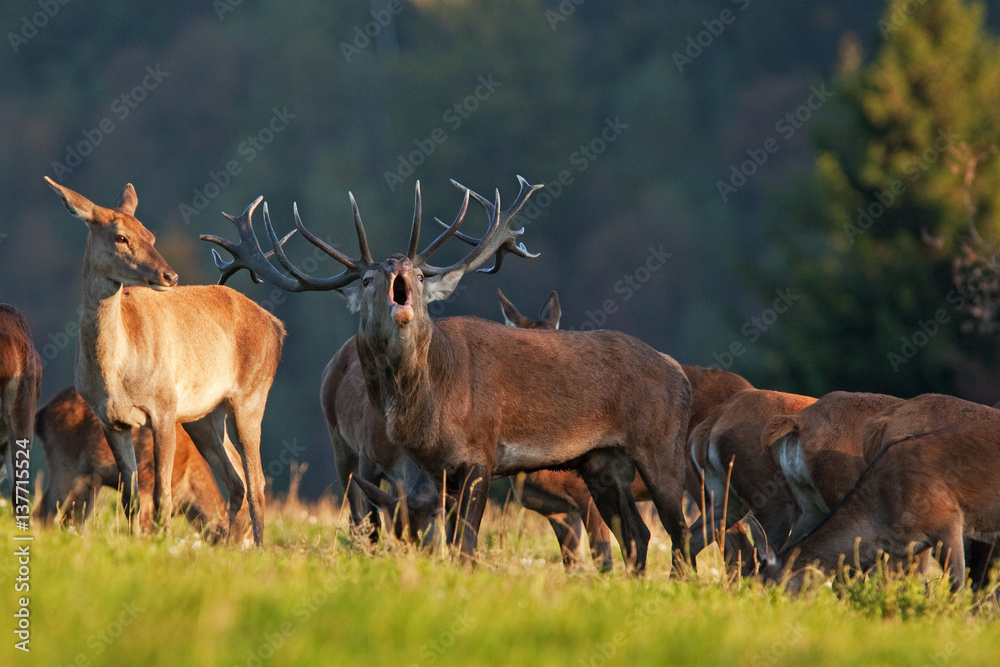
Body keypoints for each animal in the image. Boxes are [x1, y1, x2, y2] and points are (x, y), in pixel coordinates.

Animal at [34, 387, 233, 538]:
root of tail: (40, 416)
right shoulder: (146, 483)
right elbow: (143, 522)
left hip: (88, 482)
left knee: (71, 517)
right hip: (65, 463)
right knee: (44, 510)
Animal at [202, 176, 693, 572]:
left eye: (420, 275)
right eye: (365, 280)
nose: (397, 263)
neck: (433, 407)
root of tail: (680, 375)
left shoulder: (481, 453)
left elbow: (465, 546)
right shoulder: (439, 470)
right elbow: (450, 541)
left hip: (660, 446)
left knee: (678, 529)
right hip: (601, 462)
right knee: (638, 534)